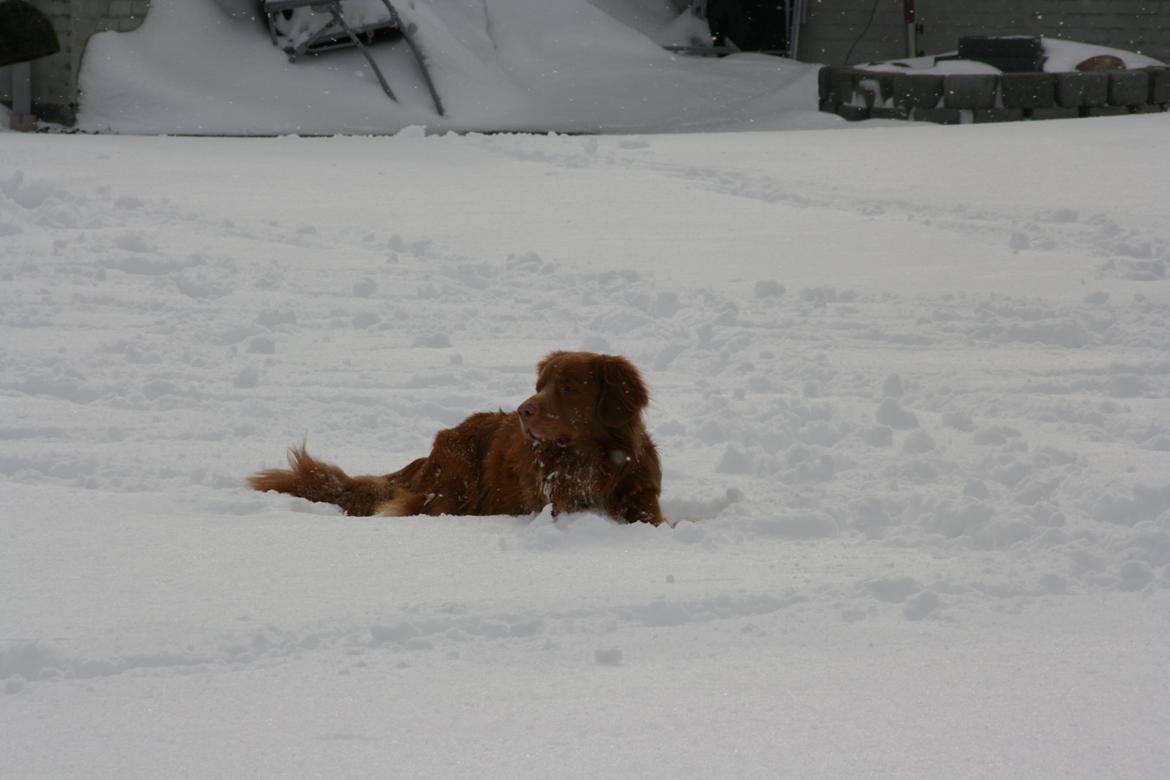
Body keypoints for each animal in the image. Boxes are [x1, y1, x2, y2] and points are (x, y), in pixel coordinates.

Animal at [244, 353, 669, 523]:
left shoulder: (644, 504)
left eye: (568, 387)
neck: (592, 463)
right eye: (539, 385)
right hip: (454, 486)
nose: (523, 411)